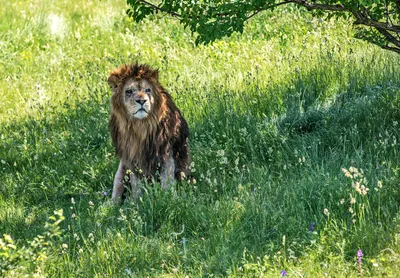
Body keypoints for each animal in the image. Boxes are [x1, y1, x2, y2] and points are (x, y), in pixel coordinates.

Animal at [108, 63, 191, 203]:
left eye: (147, 90)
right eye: (129, 91)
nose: (142, 101)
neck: (141, 127)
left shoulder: (165, 153)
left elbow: (167, 182)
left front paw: (170, 200)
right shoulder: (131, 159)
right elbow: (136, 185)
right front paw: (136, 202)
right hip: (121, 168)